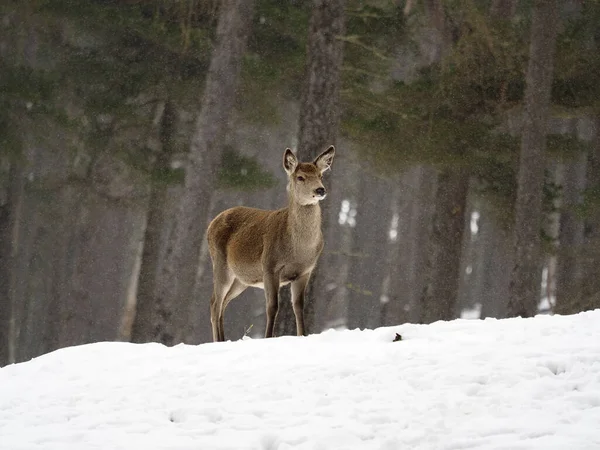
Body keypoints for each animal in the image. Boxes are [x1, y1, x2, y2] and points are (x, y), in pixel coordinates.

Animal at [209, 145, 336, 342]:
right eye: (300, 177)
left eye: (320, 175)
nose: (320, 190)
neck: (299, 250)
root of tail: (211, 223)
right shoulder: (269, 265)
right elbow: (272, 307)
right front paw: (268, 337)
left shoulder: (305, 271)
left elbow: (298, 306)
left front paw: (302, 335)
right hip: (220, 263)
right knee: (215, 303)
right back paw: (219, 341)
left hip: (242, 279)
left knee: (222, 302)